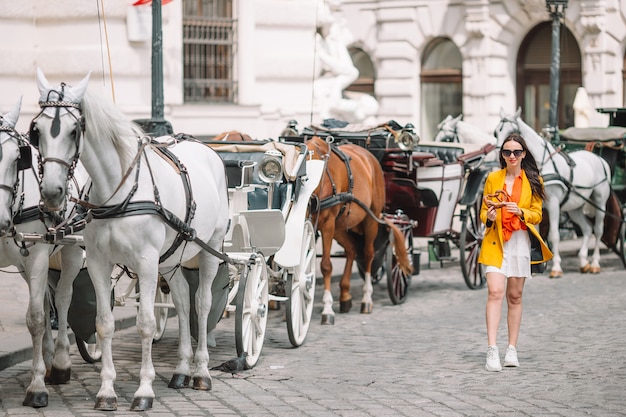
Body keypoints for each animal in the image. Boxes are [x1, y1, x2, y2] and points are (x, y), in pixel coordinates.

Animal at [0, 96, 85, 406]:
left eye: (17, 158)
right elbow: (39, 311)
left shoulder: (37, 255)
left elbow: (35, 319)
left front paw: (36, 387)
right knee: (47, 302)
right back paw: (49, 360)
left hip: (72, 252)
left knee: (61, 299)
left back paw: (59, 364)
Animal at [31, 68, 229, 410]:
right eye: (37, 130)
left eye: (73, 130)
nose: (53, 193)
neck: (118, 191)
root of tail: (206, 148)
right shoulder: (99, 262)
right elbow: (104, 323)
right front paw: (106, 390)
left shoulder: (147, 262)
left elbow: (146, 323)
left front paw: (144, 390)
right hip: (171, 257)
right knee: (181, 299)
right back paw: (181, 370)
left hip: (210, 248)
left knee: (202, 304)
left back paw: (201, 371)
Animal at [306, 136, 412, 324]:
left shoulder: (327, 224)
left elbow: (326, 265)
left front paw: (327, 309)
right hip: (341, 227)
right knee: (352, 250)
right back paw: (345, 295)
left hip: (370, 219)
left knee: (369, 254)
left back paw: (366, 299)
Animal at [492, 107, 608, 276]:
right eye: (495, 133)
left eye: (512, 132)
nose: (500, 154)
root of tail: (598, 158)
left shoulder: (553, 205)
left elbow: (554, 235)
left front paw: (556, 267)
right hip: (574, 207)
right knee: (587, 228)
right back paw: (583, 262)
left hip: (600, 201)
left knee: (598, 230)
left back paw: (594, 263)